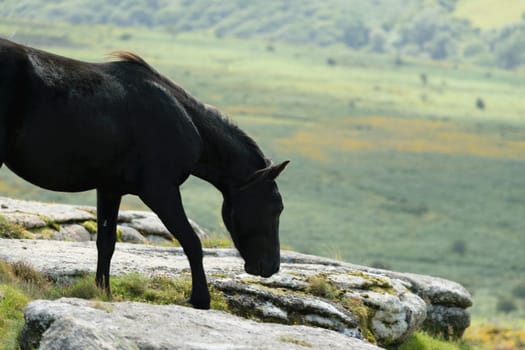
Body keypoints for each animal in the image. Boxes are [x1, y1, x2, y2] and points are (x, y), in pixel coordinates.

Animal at [0, 38, 286, 308]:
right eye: (276, 206)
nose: (272, 267)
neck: (183, 120)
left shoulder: (110, 189)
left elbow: (106, 243)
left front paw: (103, 292)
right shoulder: (160, 191)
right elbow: (191, 242)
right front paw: (200, 299)